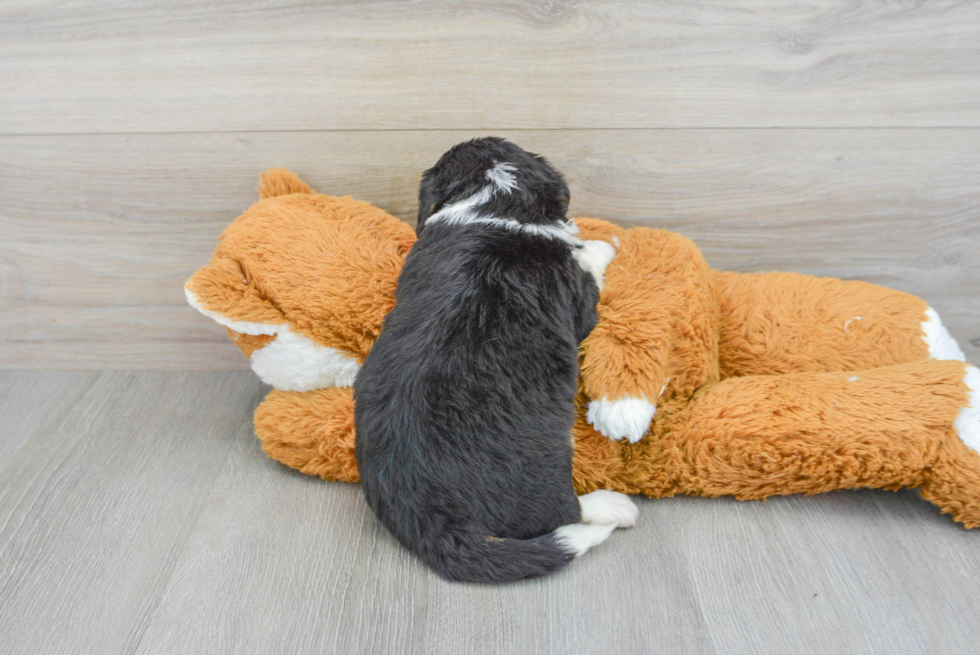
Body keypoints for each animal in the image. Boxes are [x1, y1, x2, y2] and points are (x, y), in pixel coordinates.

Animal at [352, 138, 636, 584]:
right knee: (561, 513)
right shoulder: (580, 299)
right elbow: (590, 261)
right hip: (544, 467)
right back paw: (614, 507)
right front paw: (601, 242)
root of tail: (427, 517)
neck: (495, 201)